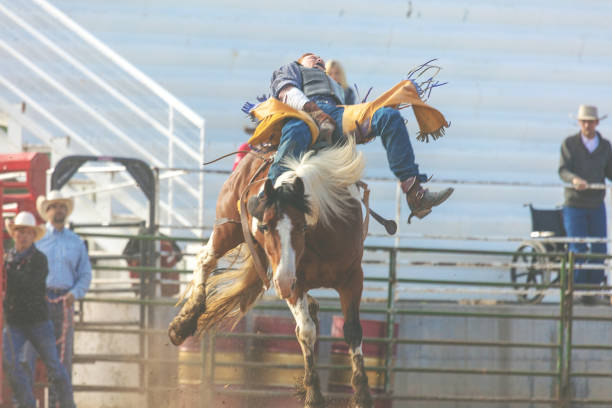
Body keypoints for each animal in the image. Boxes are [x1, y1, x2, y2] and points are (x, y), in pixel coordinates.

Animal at [170, 139, 376, 406]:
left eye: (302, 226)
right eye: (264, 226)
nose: (283, 282)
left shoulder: (352, 278)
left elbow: (352, 331)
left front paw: (362, 396)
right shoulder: (294, 283)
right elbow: (306, 332)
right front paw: (313, 395)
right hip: (228, 228)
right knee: (205, 259)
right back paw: (183, 324)